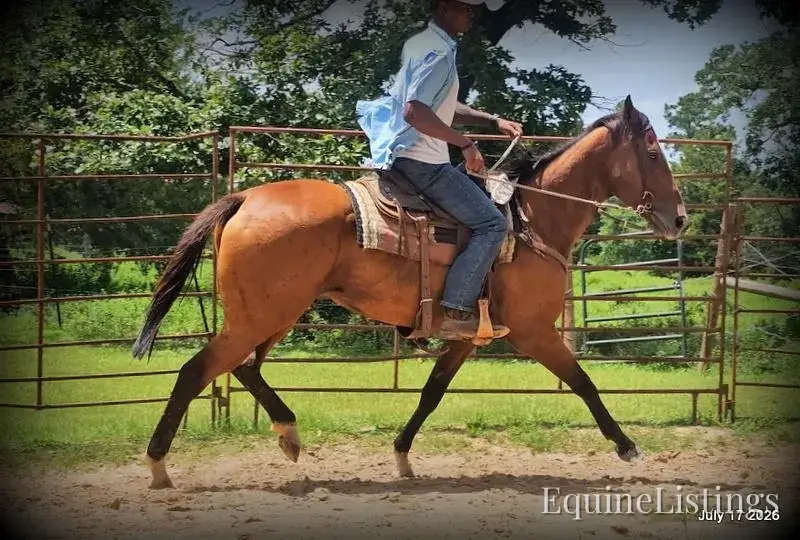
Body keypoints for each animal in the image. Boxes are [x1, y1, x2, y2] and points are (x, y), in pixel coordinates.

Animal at [133, 96, 688, 488]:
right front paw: (627, 447)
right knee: (196, 371)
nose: (679, 217)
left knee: (246, 368)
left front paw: (402, 455)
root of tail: (245, 196)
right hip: (261, 316)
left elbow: (432, 392)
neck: (530, 218)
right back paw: (159, 466)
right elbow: (584, 383)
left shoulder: (467, 335)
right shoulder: (534, 332)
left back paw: (289, 435)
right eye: (653, 151)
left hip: (275, 313)